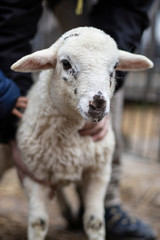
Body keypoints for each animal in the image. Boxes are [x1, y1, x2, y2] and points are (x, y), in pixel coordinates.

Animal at [10, 26, 152, 240]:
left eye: (115, 66)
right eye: (66, 63)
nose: (98, 103)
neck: (73, 139)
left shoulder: (99, 173)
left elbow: (94, 222)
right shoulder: (34, 173)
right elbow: (38, 223)